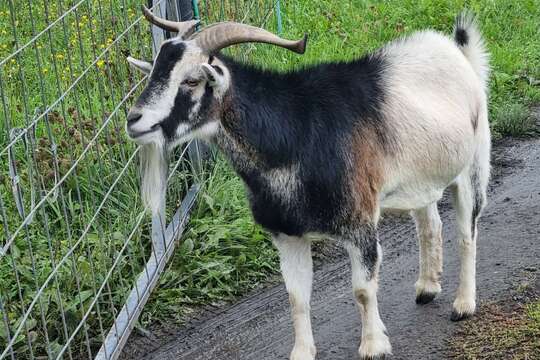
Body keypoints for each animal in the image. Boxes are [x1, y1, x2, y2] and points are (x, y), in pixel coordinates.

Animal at [125, 7, 490, 358]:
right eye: (154, 73)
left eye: (191, 80)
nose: (134, 120)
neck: (296, 135)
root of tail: (456, 52)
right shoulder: (287, 235)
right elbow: (296, 297)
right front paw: (302, 352)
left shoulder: (359, 223)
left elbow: (362, 289)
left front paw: (374, 346)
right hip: (421, 178)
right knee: (430, 224)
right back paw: (427, 287)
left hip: (473, 164)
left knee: (467, 233)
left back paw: (463, 304)